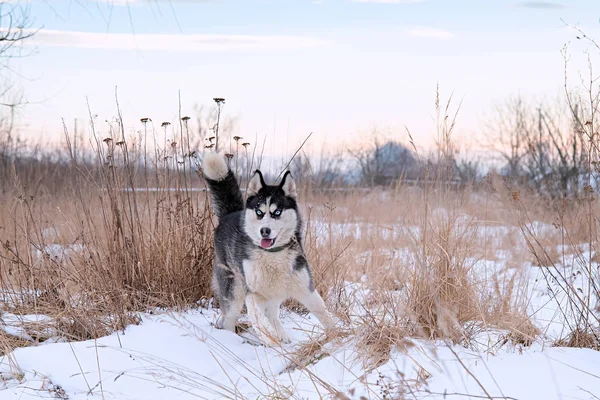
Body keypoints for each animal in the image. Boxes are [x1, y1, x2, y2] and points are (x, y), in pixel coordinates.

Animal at [200, 152, 332, 346]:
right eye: (259, 212)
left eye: (277, 212)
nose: (265, 231)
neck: (273, 255)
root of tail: (229, 214)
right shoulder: (253, 293)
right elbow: (259, 320)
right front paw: (269, 337)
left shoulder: (306, 289)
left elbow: (324, 313)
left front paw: (342, 335)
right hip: (234, 292)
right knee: (229, 320)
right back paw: (232, 340)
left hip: (273, 292)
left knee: (272, 314)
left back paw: (282, 335)